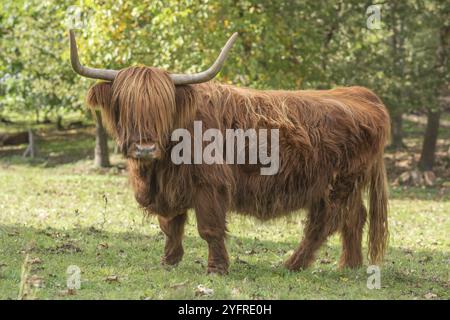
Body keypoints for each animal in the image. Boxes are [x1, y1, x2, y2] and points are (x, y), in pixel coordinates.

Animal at [68, 30, 388, 276]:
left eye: (163, 107)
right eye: (124, 105)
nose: (144, 148)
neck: (158, 169)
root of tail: (361, 94)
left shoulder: (210, 184)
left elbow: (209, 228)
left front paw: (216, 269)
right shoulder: (171, 187)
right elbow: (170, 225)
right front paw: (168, 261)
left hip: (334, 185)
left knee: (323, 224)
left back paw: (292, 265)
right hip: (349, 185)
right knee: (354, 217)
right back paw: (349, 265)